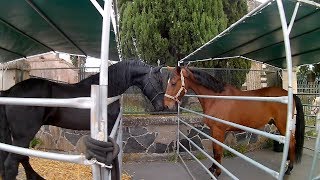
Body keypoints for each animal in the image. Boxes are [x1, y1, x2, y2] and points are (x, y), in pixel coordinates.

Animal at [0, 60, 165, 180]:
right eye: (158, 81)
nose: (162, 106)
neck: (107, 91)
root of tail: (9, 92)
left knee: (21, 158)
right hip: (24, 135)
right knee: (12, 163)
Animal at [165, 65, 304, 177]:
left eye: (173, 83)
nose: (166, 105)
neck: (215, 97)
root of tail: (290, 95)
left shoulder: (219, 131)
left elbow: (218, 152)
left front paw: (217, 172)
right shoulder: (214, 131)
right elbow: (215, 150)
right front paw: (213, 168)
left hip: (282, 125)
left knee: (292, 142)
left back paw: (288, 169)